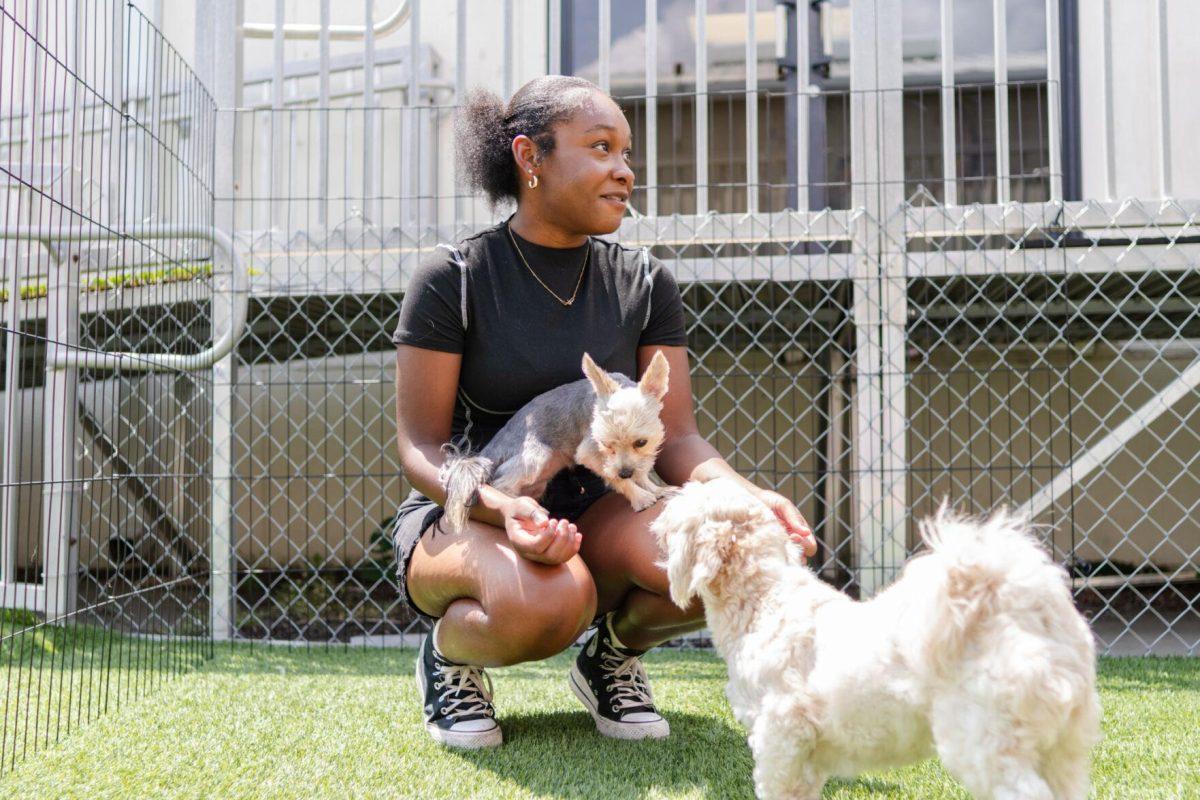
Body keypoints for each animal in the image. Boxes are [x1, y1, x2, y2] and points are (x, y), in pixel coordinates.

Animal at [439, 350, 672, 532]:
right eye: (605, 445)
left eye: (641, 442)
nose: (625, 472)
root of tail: (490, 450)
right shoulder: (590, 454)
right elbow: (615, 477)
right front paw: (641, 498)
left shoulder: (636, 459)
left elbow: (641, 472)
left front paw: (656, 489)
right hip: (538, 455)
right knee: (500, 483)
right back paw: (518, 503)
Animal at [652, 479, 1099, 796]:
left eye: (686, 504)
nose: (663, 495)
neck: (765, 600)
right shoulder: (806, 758)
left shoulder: (782, 734)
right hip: (1062, 749)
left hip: (985, 741)